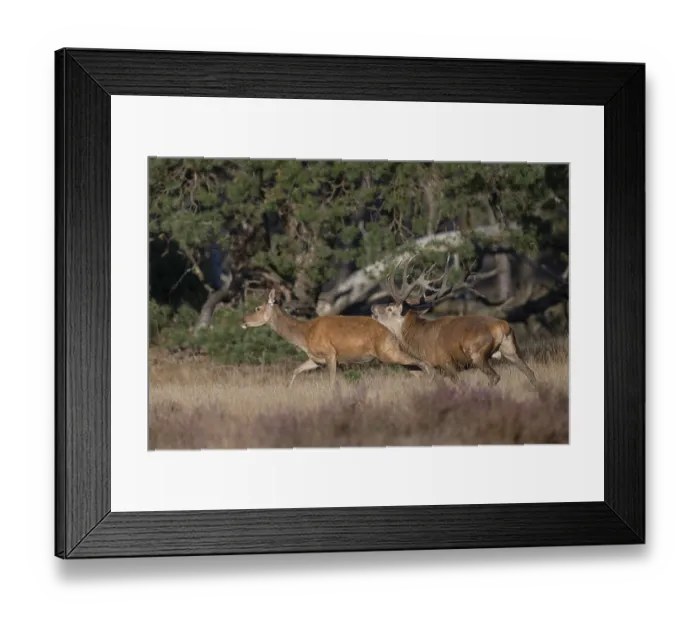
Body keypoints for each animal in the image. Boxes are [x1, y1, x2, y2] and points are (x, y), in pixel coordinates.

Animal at [241, 289, 435, 387]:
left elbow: (332, 382)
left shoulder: (330, 354)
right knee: (417, 371)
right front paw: (288, 390)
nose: (243, 320)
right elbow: (295, 370)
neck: (304, 334)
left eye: (258, 308)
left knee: (423, 363)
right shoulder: (316, 359)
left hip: (389, 351)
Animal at [369, 255, 538, 388]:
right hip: (510, 349)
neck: (417, 341)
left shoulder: (444, 364)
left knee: (495, 376)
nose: (372, 307)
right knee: (530, 372)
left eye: (390, 308)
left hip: (477, 352)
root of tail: (502, 326)